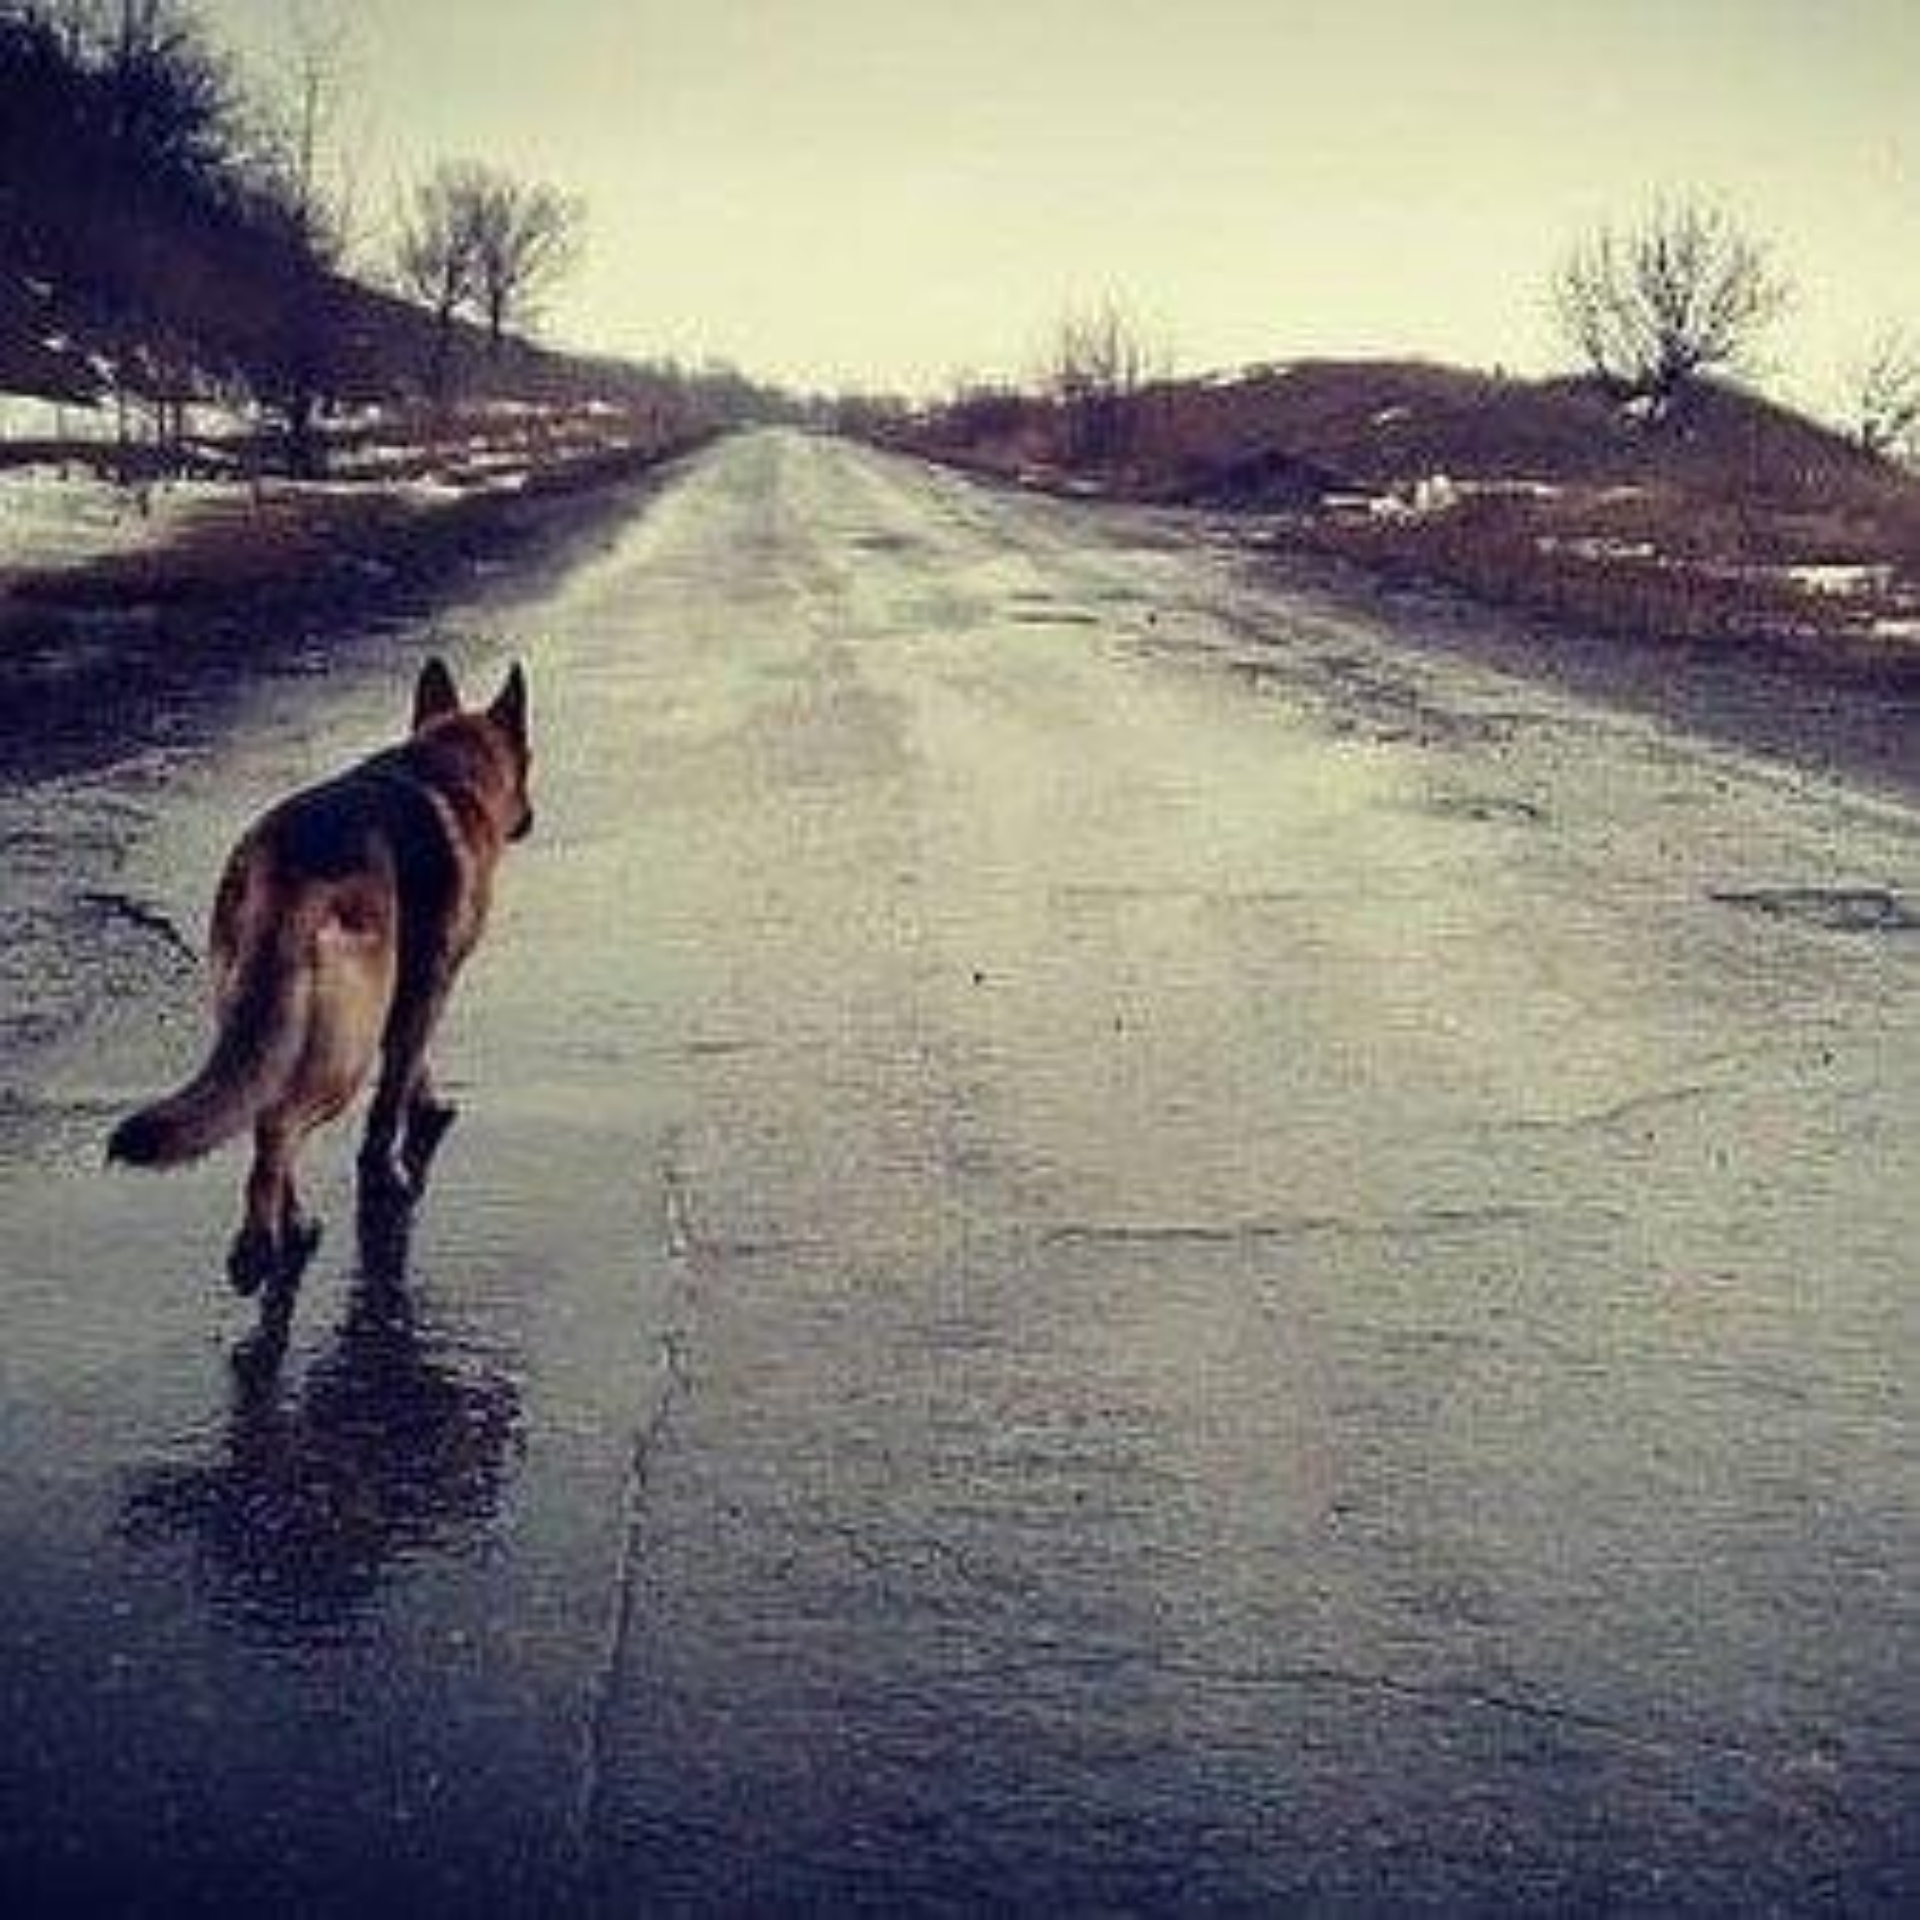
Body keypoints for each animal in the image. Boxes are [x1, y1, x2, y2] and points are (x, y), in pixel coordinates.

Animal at [111, 656, 533, 1290]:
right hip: (345, 1051)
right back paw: (258, 1245)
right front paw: (394, 1160)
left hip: (269, 1022)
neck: (448, 768)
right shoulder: (429, 985)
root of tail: (286, 865)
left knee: (266, 1111)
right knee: (280, 1127)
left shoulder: (408, 991)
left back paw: (290, 1225)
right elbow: (390, 1098)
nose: (529, 819)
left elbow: (411, 1063)